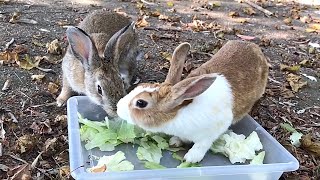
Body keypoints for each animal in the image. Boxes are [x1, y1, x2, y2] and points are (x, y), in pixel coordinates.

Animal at [116, 40, 268, 163]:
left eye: (141, 103)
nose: (117, 107)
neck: (179, 113)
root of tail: (254, 47)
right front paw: (175, 141)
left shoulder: (213, 131)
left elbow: (202, 145)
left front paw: (191, 158)